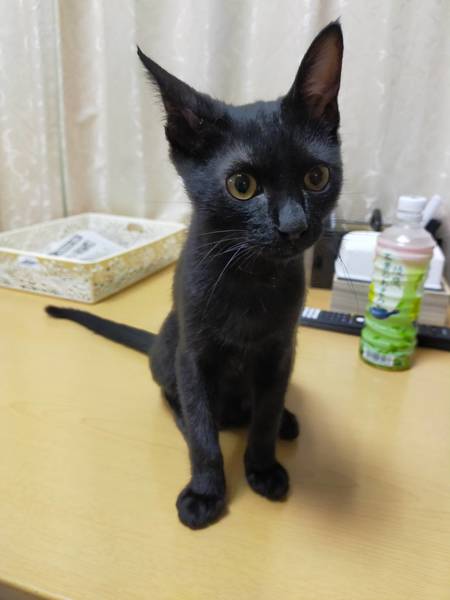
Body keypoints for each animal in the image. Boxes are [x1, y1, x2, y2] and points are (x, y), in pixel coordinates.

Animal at [46, 22, 344, 529]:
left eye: (317, 177)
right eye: (241, 185)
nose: (293, 226)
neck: (251, 278)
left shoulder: (280, 349)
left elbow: (264, 415)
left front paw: (263, 467)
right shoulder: (193, 355)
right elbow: (204, 434)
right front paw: (206, 491)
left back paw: (284, 419)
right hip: (169, 343)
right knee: (176, 399)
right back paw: (191, 418)